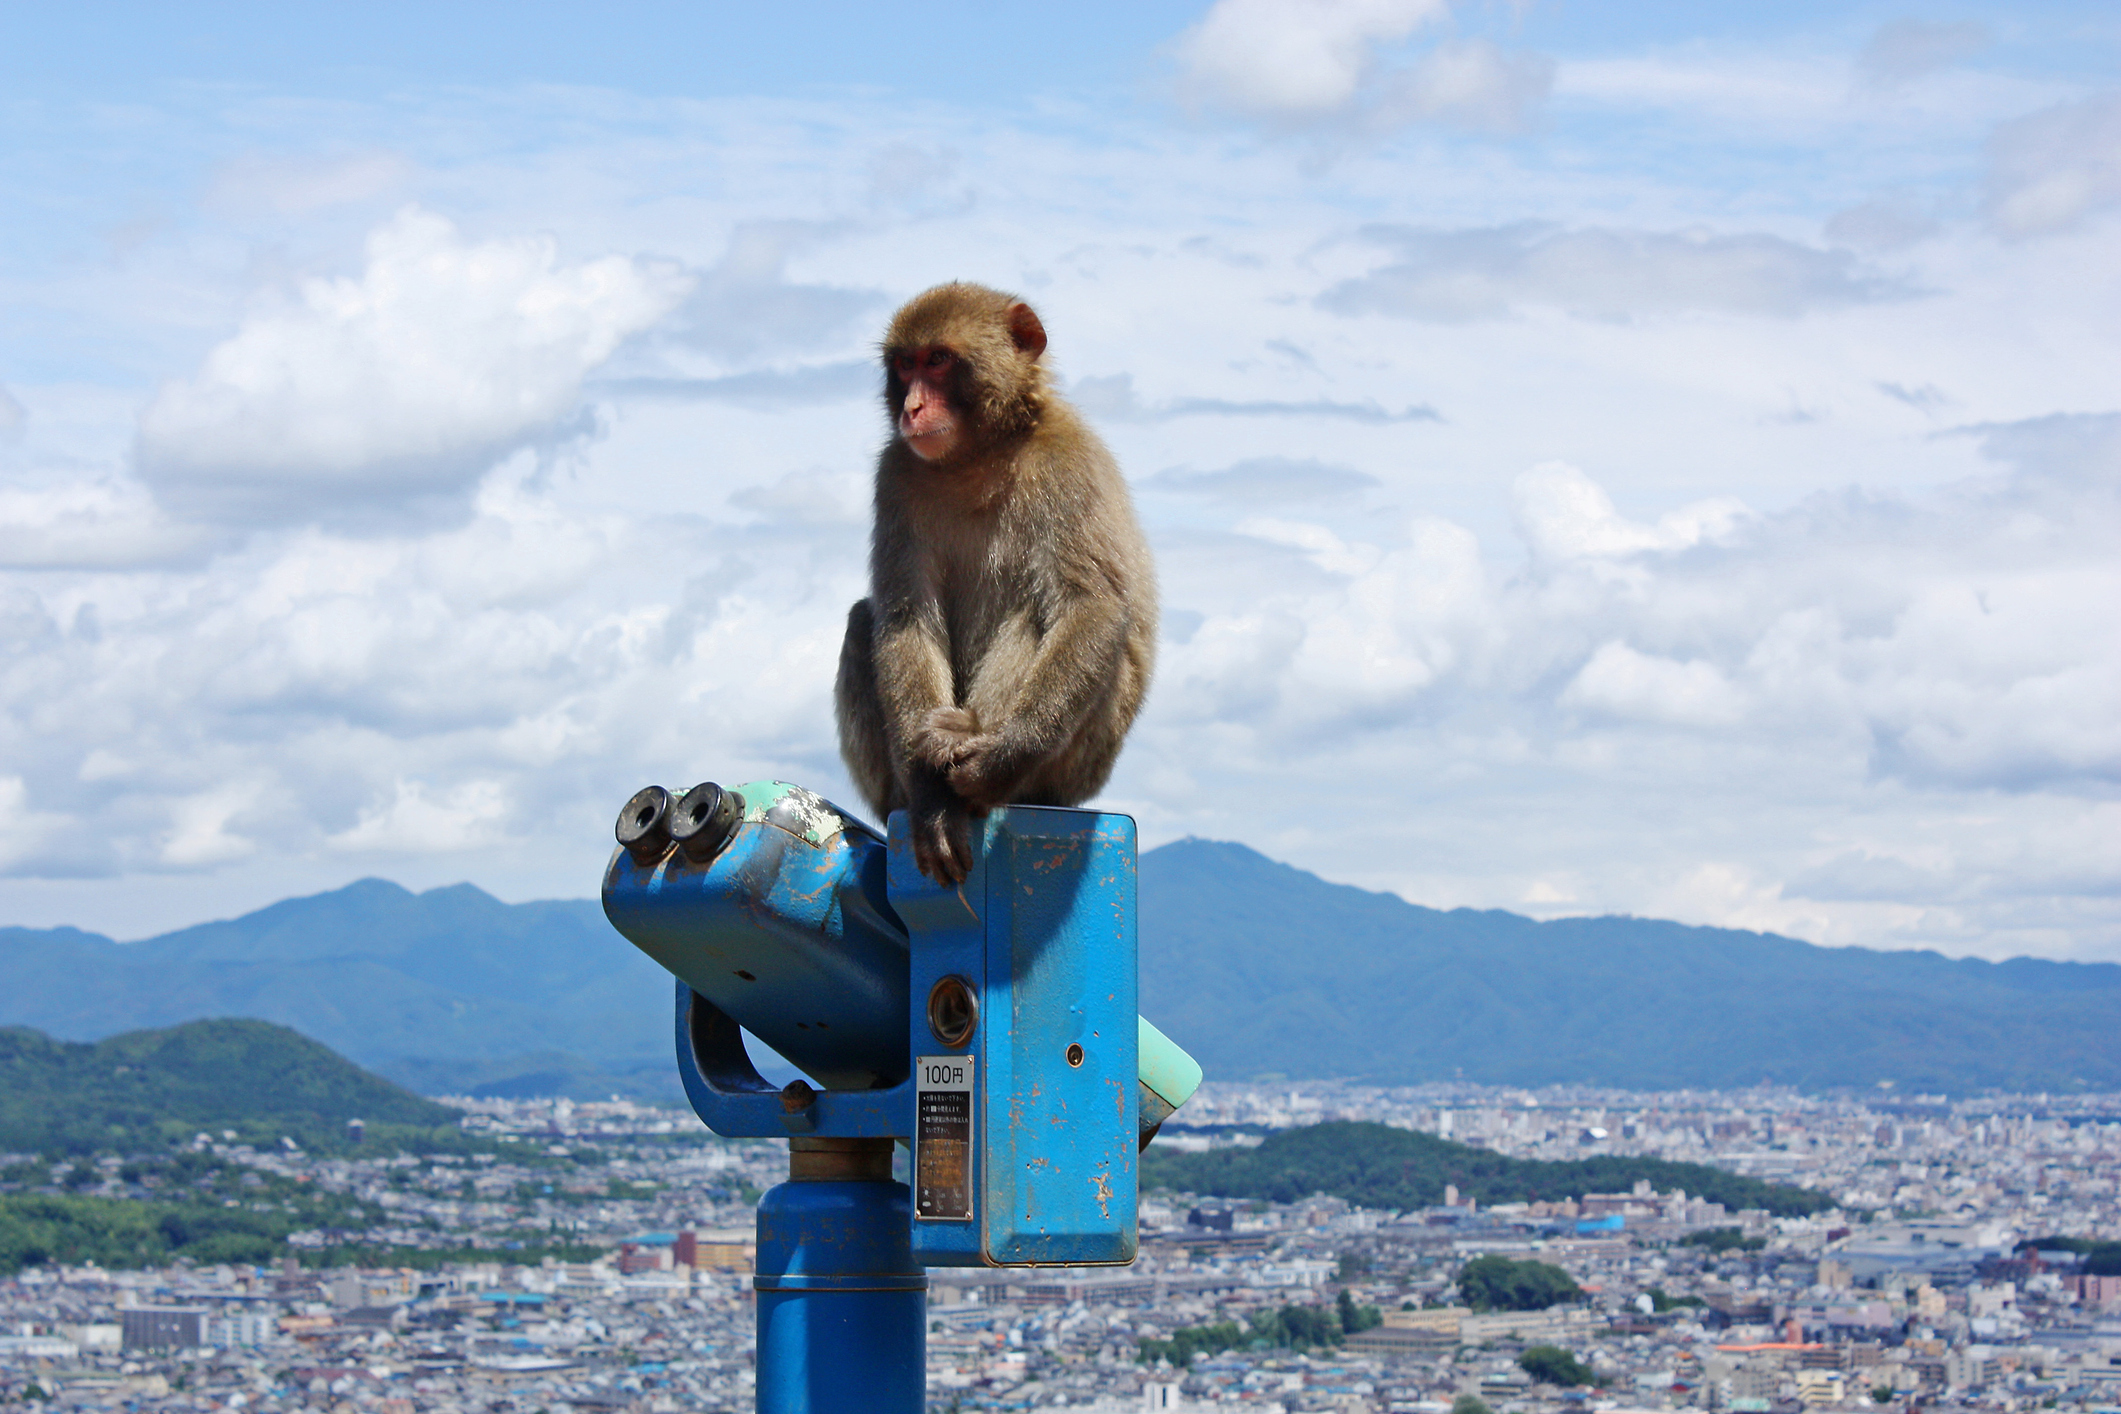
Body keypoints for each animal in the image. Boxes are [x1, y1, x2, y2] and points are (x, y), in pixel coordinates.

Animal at [834, 282, 1156, 886]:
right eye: (905, 365)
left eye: (939, 360)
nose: (912, 408)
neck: (978, 454)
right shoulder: (896, 475)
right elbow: (905, 619)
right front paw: (933, 800)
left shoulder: (1068, 461)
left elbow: (1092, 605)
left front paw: (1001, 757)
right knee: (864, 620)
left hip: (1077, 769)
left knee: (1037, 614)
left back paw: (971, 746)